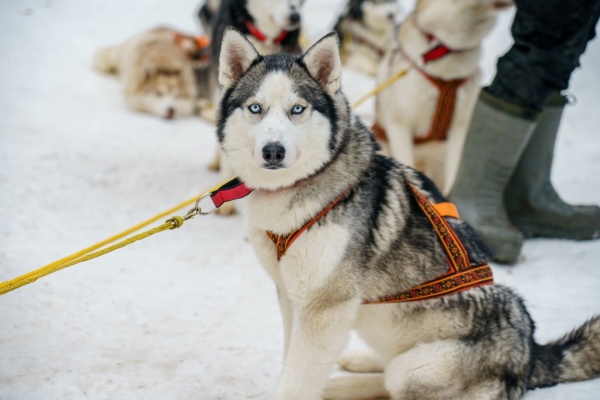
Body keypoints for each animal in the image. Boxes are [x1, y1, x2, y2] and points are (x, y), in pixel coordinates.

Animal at [216, 28, 600, 400]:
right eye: (255, 108)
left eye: (298, 109)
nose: (273, 151)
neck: (297, 189)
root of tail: (530, 354)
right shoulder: (293, 297)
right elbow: (293, 363)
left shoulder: (324, 306)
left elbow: (296, 380)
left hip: (419, 365)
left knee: (392, 383)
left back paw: (341, 385)